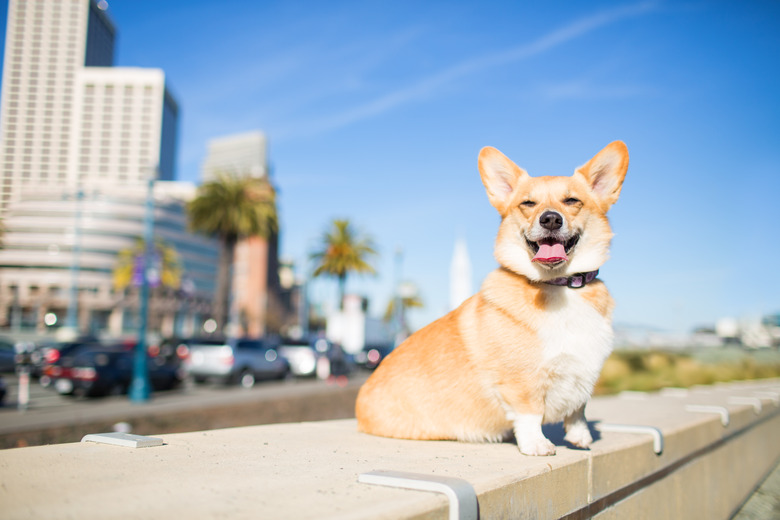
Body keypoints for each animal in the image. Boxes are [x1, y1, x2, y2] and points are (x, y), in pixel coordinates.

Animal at [356, 140, 632, 452]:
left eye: (572, 201)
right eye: (528, 203)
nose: (550, 219)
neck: (559, 285)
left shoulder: (582, 372)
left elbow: (578, 409)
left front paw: (580, 436)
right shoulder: (521, 382)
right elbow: (530, 413)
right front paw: (536, 445)